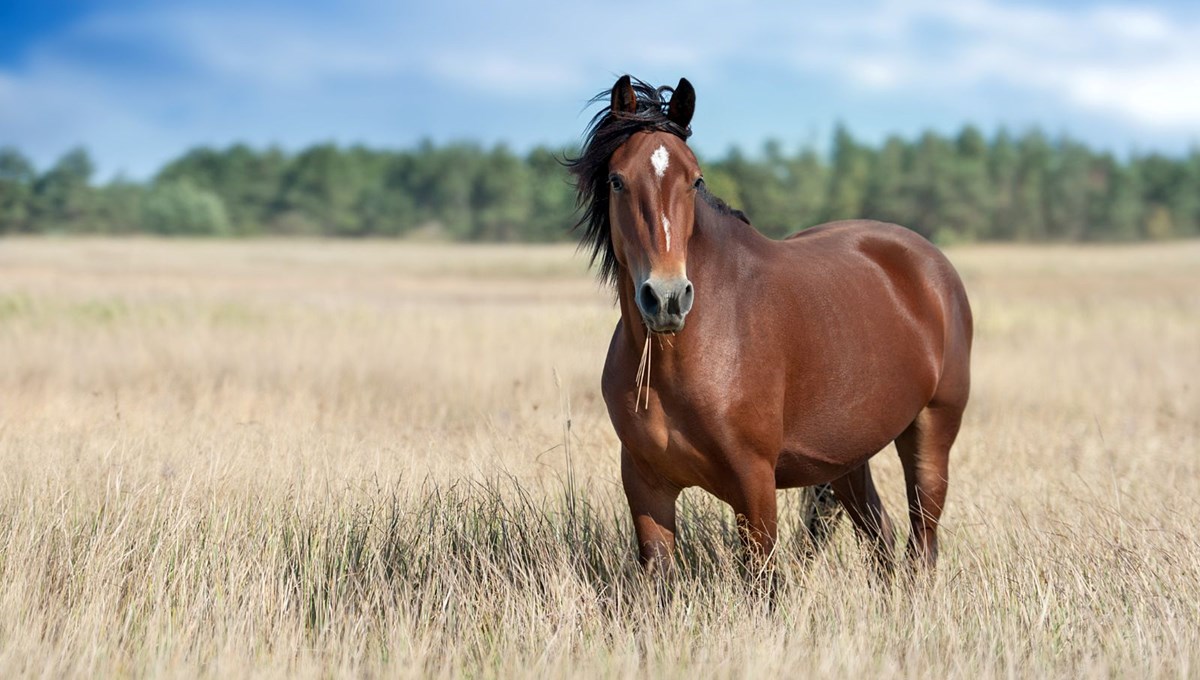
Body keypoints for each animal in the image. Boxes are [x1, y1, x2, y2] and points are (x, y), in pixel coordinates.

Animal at [571, 77, 974, 578]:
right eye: (617, 180)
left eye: (695, 180)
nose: (667, 298)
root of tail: (932, 265)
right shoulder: (647, 485)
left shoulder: (754, 482)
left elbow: (763, 582)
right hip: (848, 460)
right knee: (881, 540)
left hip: (932, 433)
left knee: (921, 542)